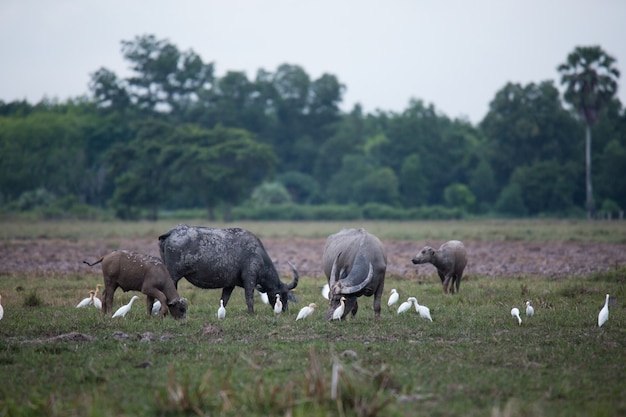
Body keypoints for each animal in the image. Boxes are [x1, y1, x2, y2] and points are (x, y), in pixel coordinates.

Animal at [160, 224, 298, 312]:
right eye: (279, 294)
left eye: (287, 296)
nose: (284, 310)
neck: (258, 255)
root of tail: (172, 231)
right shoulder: (250, 279)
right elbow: (249, 298)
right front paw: (252, 314)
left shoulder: (229, 285)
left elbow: (224, 300)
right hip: (173, 276)